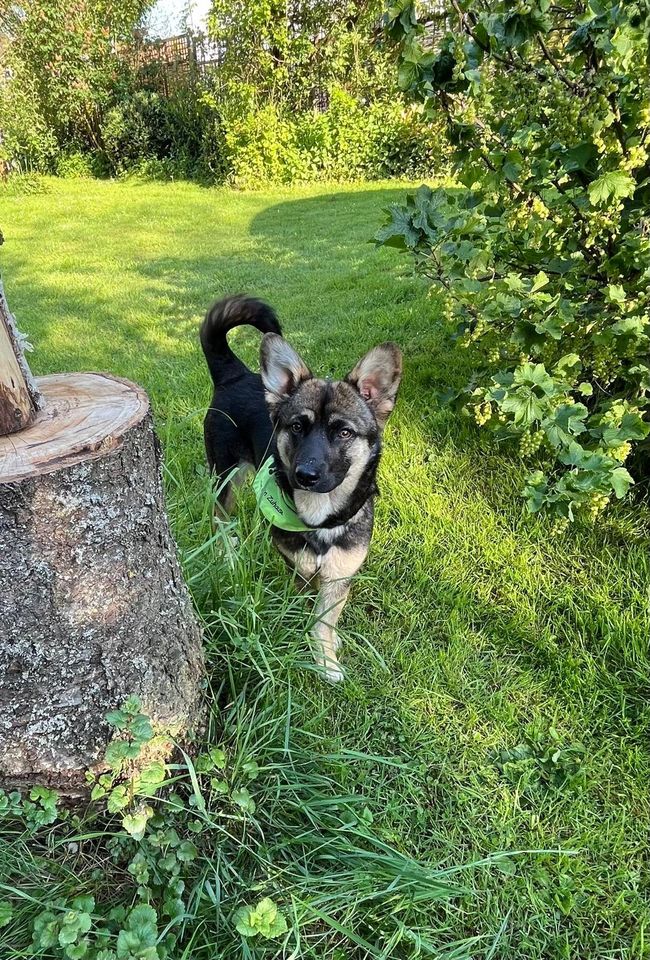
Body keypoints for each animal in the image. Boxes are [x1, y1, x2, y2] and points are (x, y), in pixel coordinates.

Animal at [200, 296, 400, 680]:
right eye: (296, 426)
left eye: (344, 432)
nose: (304, 475)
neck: (320, 517)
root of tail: (236, 374)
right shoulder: (300, 570)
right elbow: (307, 611)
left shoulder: (338, 575)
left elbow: (325, 619)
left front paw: (326, 656)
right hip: (226, 476)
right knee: (219, 518)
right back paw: (226, 554)